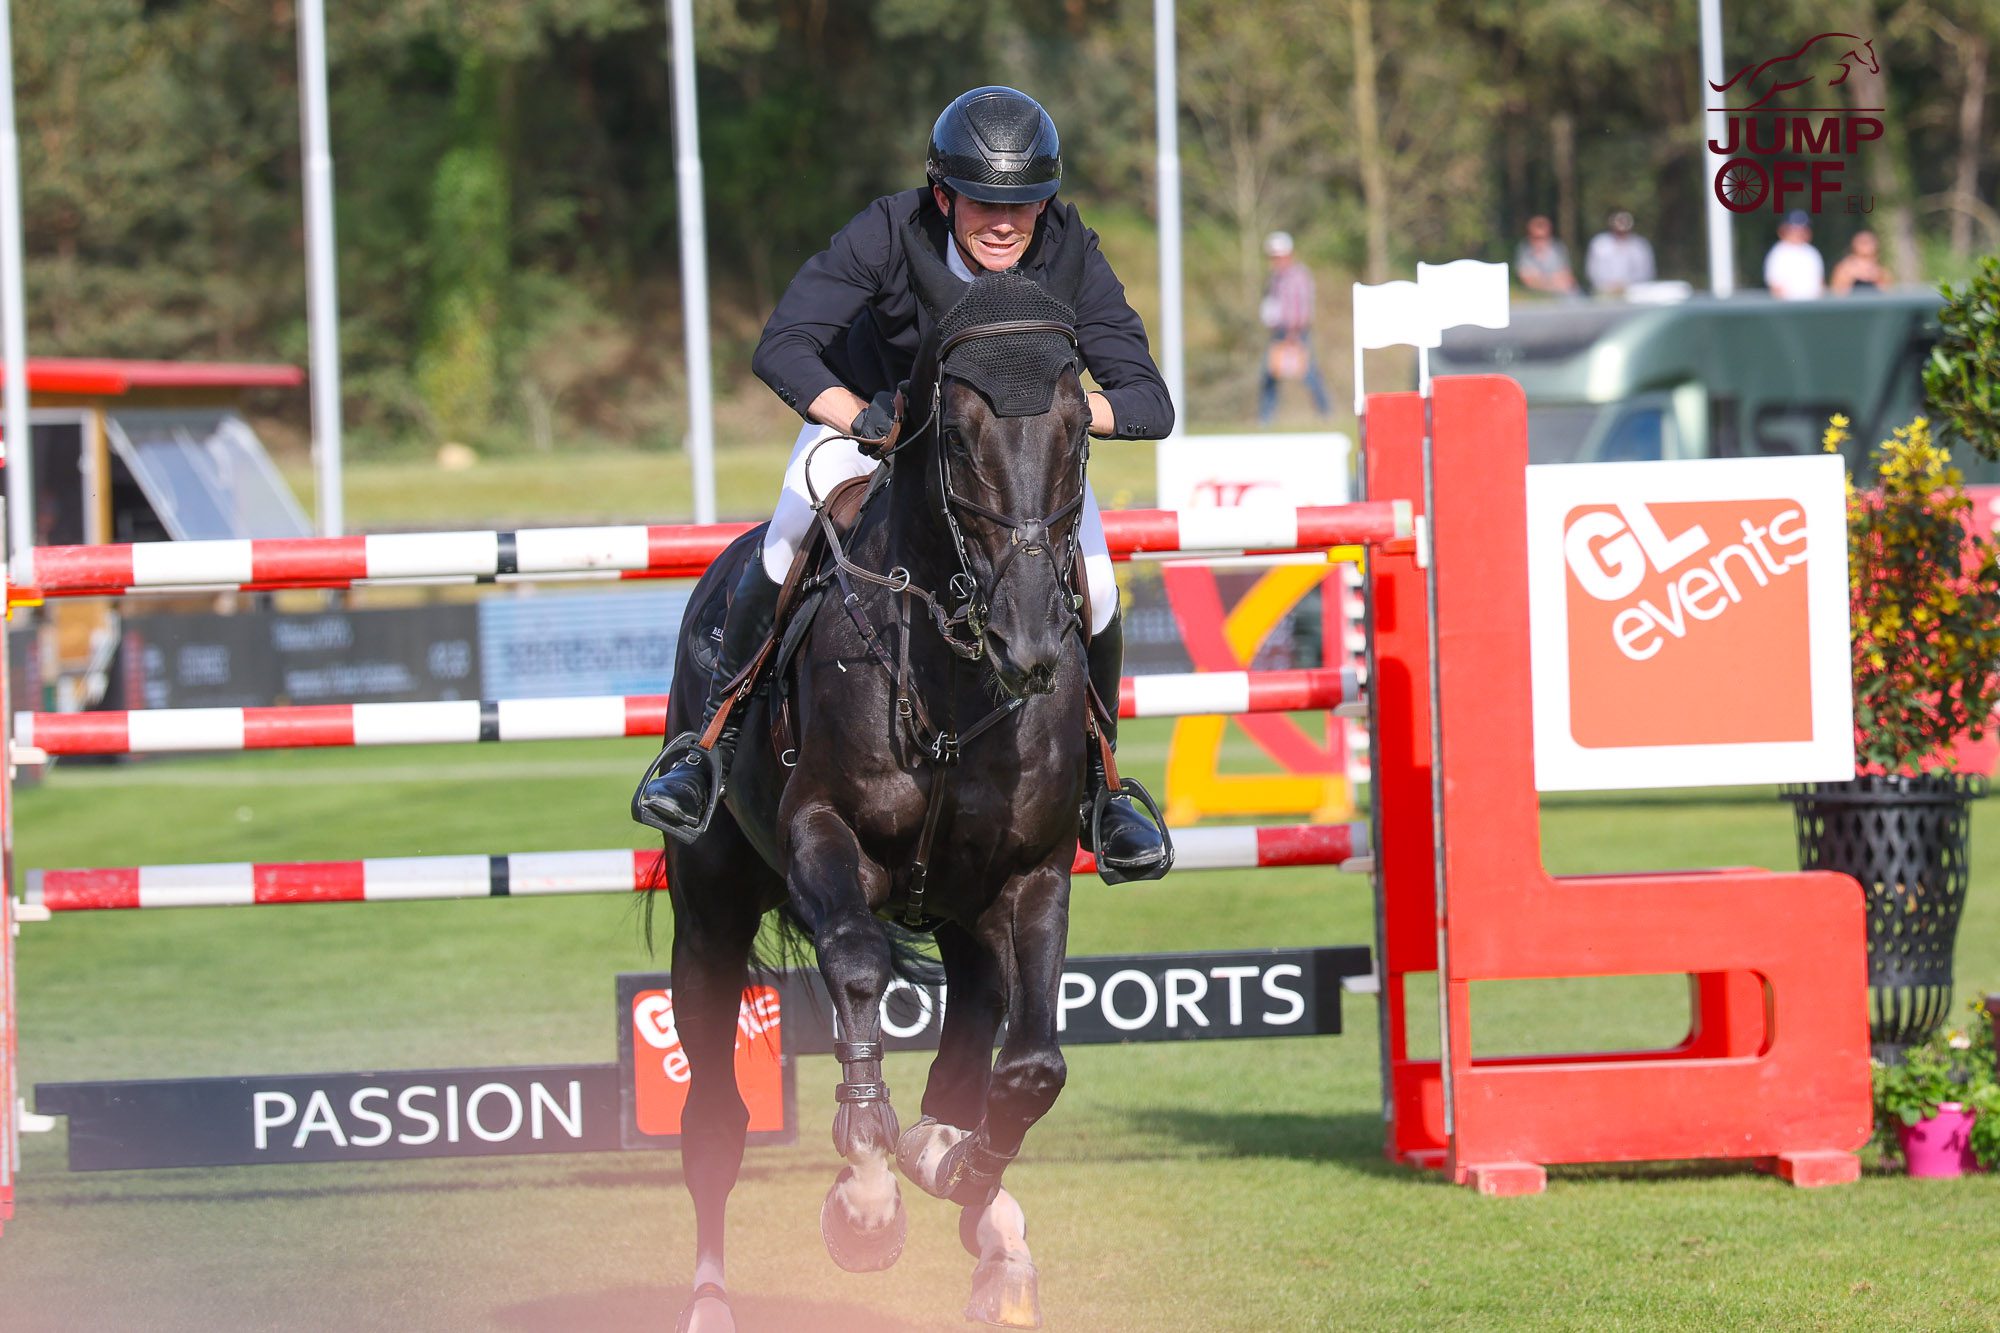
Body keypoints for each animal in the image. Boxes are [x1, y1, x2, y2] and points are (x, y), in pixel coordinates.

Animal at [652, 224, 1107, 1333]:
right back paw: (713, 1296)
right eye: (955, 433)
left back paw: (980, 1211)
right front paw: (863, 1196)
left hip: (962, 909)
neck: (953, 665)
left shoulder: (1029, 875)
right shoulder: (825, 833)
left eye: (1078, 428)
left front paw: (961, 1174)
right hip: (711, 909)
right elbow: (856, 965)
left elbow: (1029, 1066)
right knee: (714, 1117)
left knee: (974, 1029)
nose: (1033, 644)